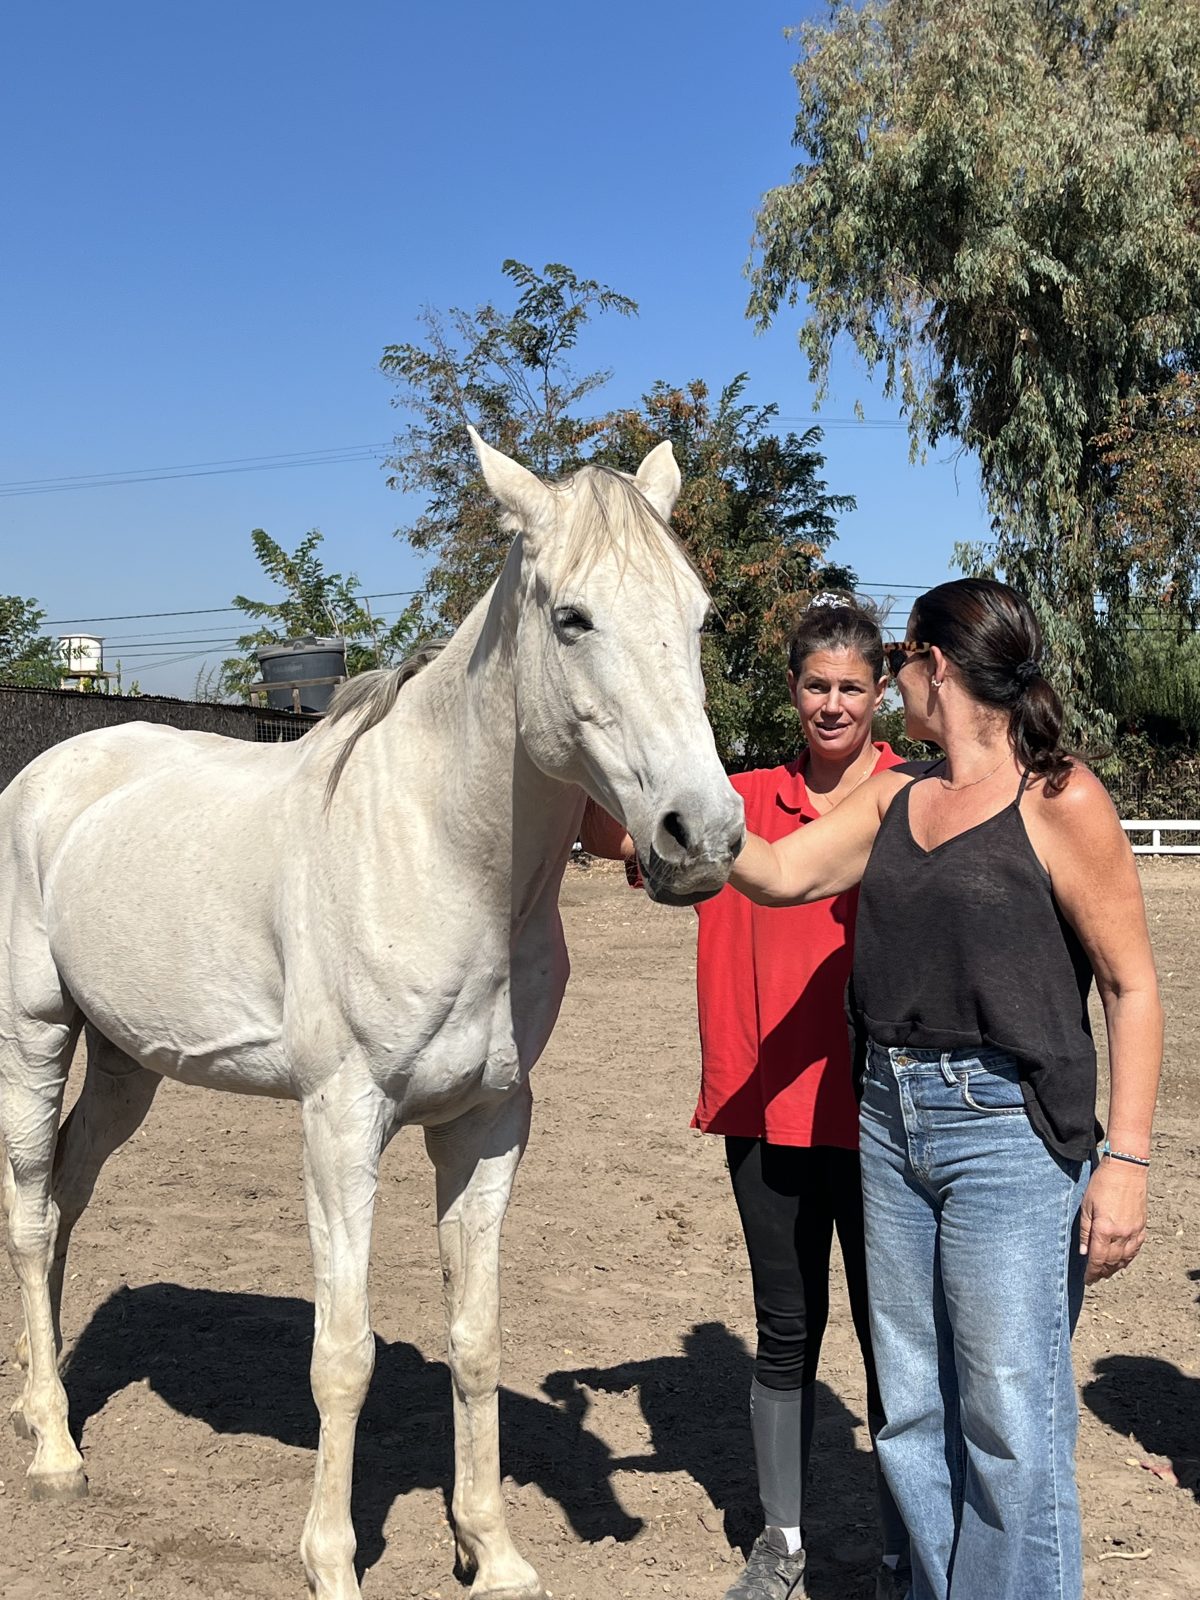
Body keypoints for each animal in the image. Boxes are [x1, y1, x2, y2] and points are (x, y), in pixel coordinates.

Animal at [0, 428, 745, 1600]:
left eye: (700, 614)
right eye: (571, 618)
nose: (701, 835)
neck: (440, 851)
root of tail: (53, 769)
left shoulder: (488, 1127)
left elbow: (477, 1337)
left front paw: (493, 1552)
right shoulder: (343, 1123)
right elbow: (342, 1358)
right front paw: (333, 1562)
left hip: (127, 1066)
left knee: (70, 1193)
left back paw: (47, 1392)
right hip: (36, 1033)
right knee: (31, 1209)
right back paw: (54, 1451)